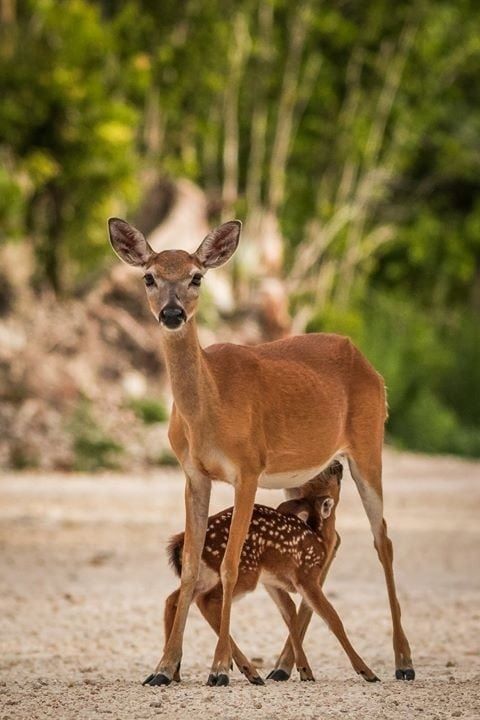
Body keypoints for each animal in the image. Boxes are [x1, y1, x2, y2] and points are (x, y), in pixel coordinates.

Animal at [157, 461, 380, 685]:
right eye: (330, 479)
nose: (337, 464)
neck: (319, 538)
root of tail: (179, 541)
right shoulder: (306, 575)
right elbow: (332, 618)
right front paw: (367, 671)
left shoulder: (271, 581)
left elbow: (290, 613)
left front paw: (302, 670)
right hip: (246, 572)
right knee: (207, 601)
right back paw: (238, 670)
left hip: (209, 574)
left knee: (174, 599)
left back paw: (173, 670)